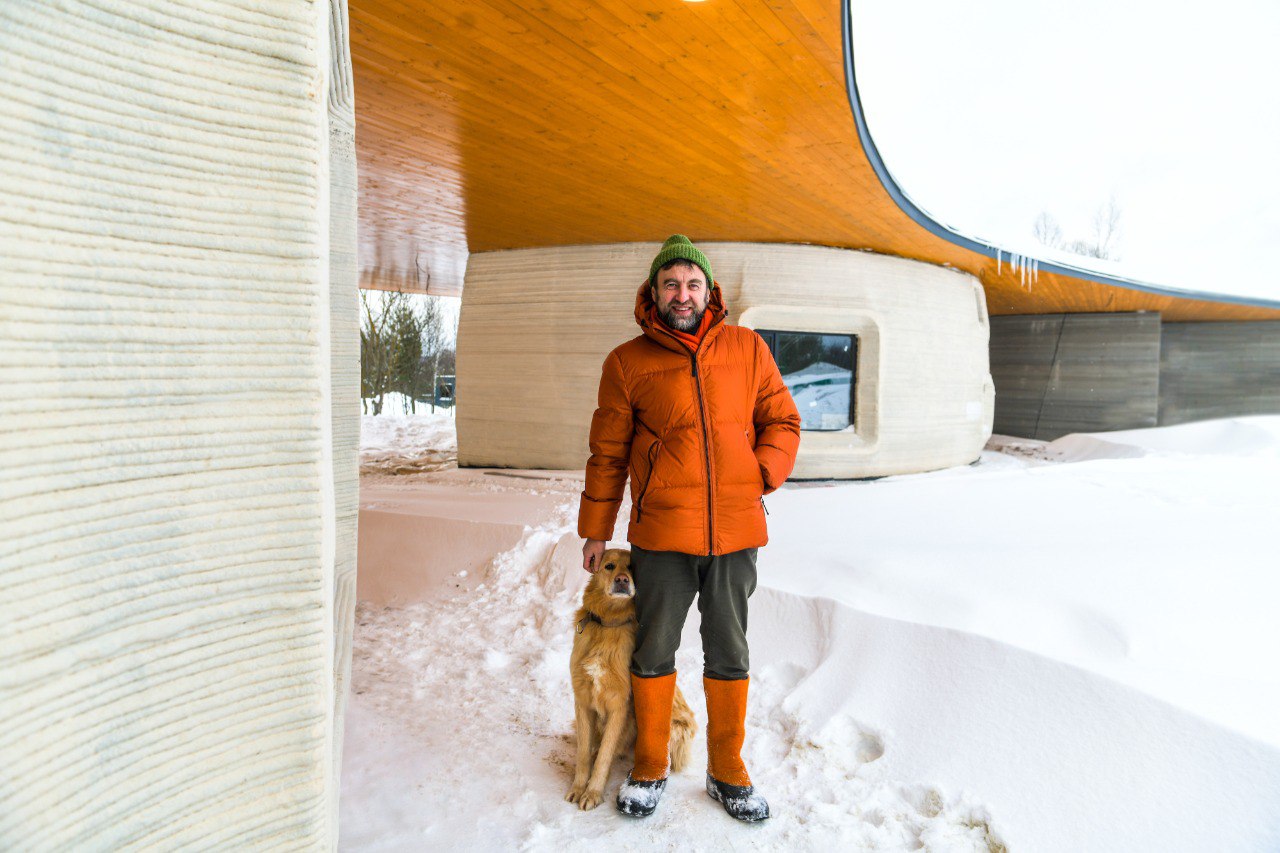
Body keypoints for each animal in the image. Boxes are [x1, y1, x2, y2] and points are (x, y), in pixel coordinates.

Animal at [565, 548, 696, 809]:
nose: (623, 580)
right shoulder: (582, 699)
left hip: (675, 727)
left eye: (632, 567)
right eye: (609, 566)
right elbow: (583, 753)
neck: (608, 625)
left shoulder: (619, 706)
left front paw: (592, 792)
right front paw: (578, 787)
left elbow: (605, 756)